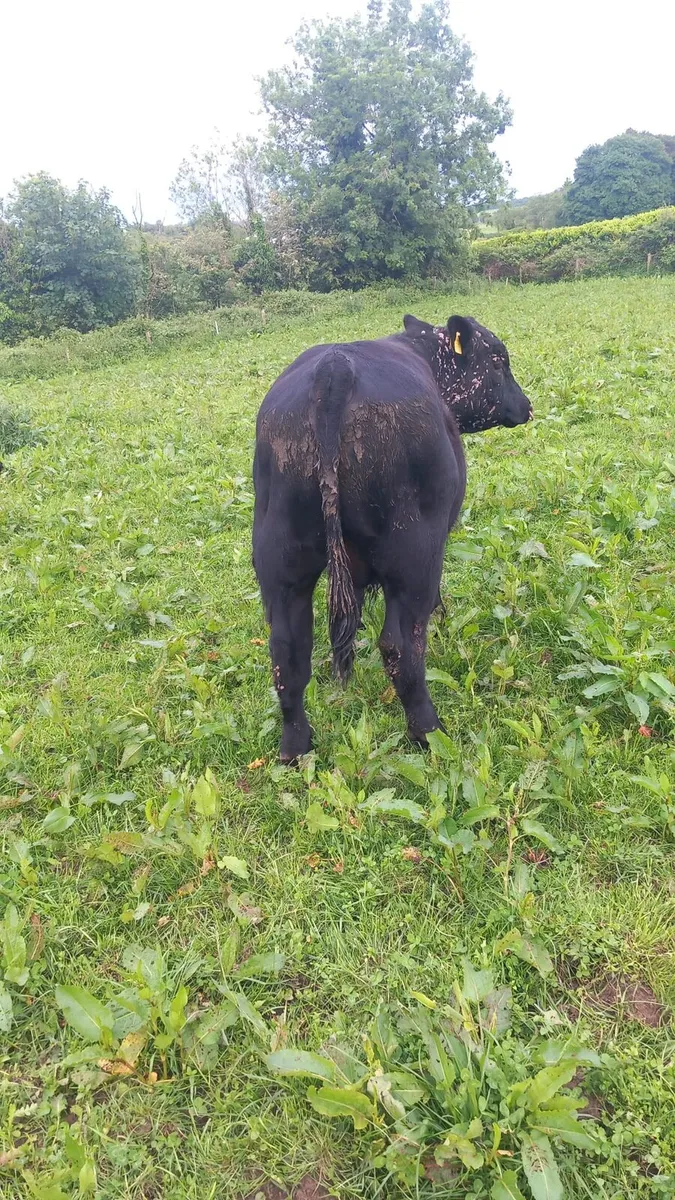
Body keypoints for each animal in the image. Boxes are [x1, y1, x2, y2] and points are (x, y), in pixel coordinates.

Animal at [252, 313, 532, 762]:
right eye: (497, 361)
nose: (526, 406)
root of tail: (335, 368)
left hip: (280, 560)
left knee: (288, 653)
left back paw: (296, 749)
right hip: (414, 552)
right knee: (401, 647)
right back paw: (430, 734)